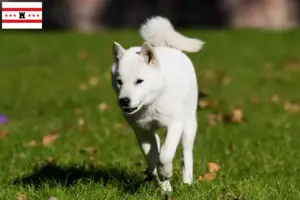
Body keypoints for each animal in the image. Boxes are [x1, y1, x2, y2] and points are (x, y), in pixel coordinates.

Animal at [110, 16, 204, 192]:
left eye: (139, 81)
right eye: (119, 81)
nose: (124, 100)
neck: (151, 104)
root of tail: (166, 46)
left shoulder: (175, 124)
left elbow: (166, 154)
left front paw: (165, 173)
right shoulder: (141, 131)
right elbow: (152, 156)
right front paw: (163, 184)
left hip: (189, 124)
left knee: (186, 153)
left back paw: (187, 181)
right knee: (157, 147)